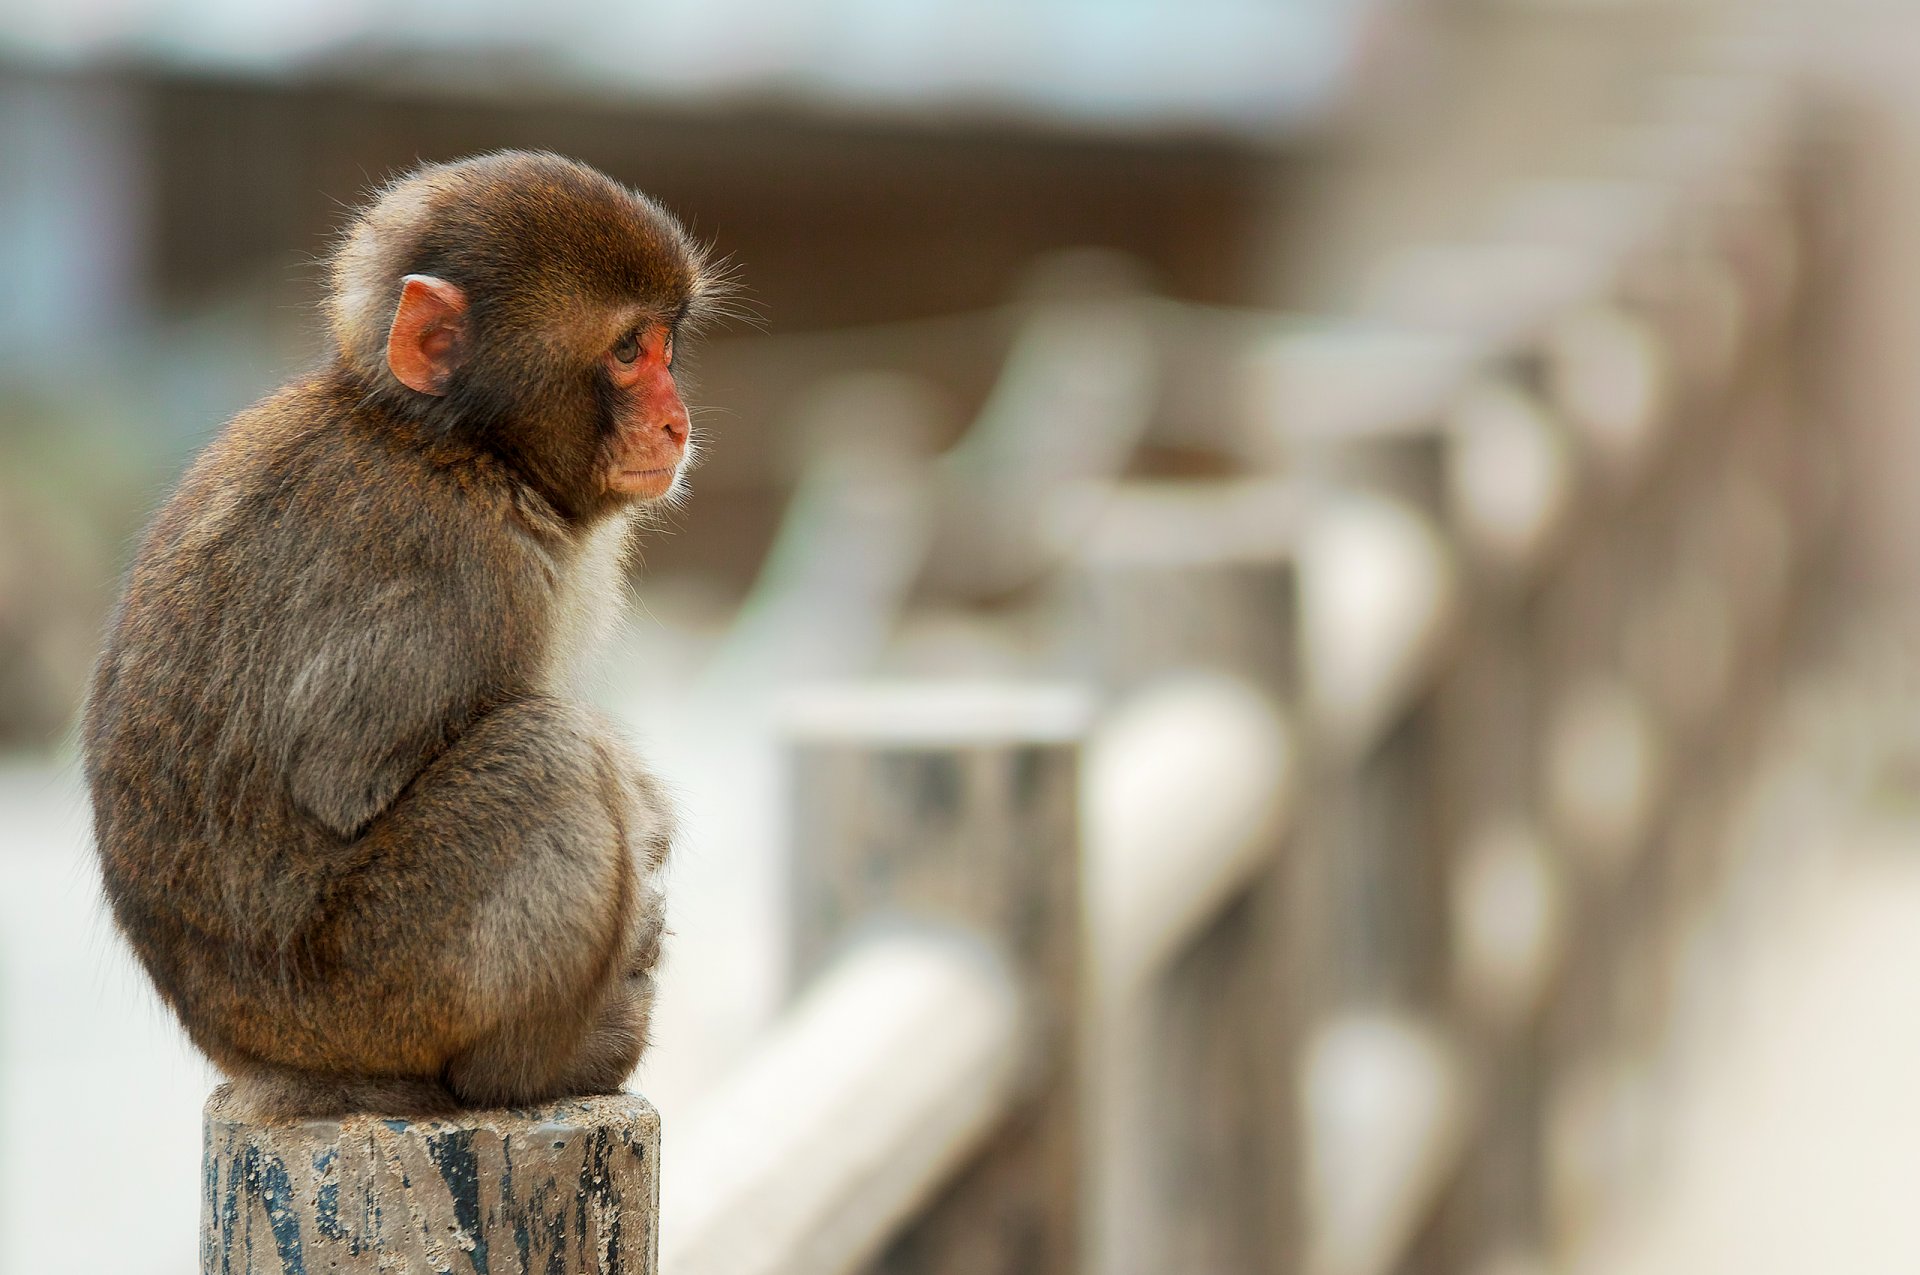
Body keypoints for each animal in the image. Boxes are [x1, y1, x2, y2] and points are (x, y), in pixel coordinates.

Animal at [80, 151, 733, 1129]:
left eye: (664, 344)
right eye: (627, 351)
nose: (676, 421)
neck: (457, 446)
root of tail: (263, 1060)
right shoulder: (456, 566)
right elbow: (346, 780)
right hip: (377, 988)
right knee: (546, 752)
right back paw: (540, 1066)